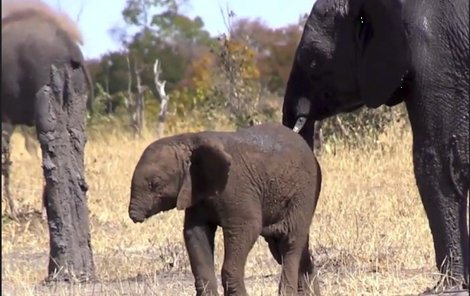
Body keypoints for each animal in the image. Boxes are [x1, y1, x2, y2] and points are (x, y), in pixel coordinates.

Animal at [129, 123, 324, 296]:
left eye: (154, 184)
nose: (134, 216)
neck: (188, 140)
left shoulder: (235, 186)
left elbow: (247, 228)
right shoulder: (197, 192)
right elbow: (195, 233)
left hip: (305, 191)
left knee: (289, 241)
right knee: (283, 246)